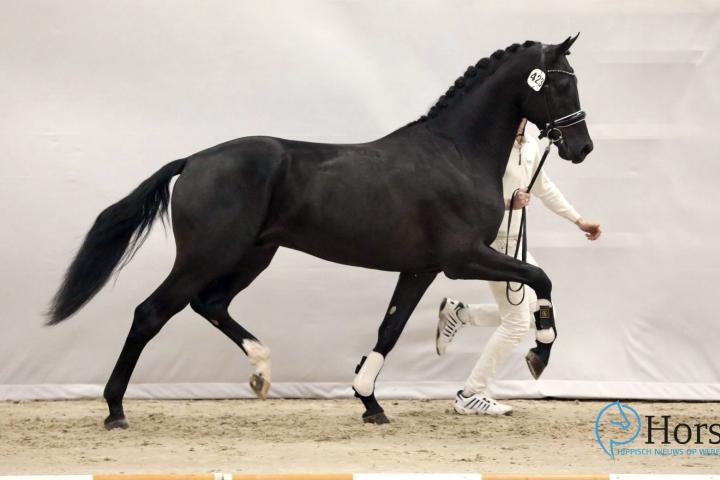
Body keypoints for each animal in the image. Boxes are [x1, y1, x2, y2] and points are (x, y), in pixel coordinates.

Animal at [48, 35, 592, 428]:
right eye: (562, 84)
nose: (582, 147)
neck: (455, 152)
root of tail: (195, 161)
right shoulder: (462, 258)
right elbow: (540, 279)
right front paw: (540, 353)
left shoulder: (420, 268)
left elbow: (390, 329)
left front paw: (370, 403)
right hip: (207, 255)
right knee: (151, 313)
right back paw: (115, 410)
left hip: (253, 255)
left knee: (210, 303)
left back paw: (261, 372)